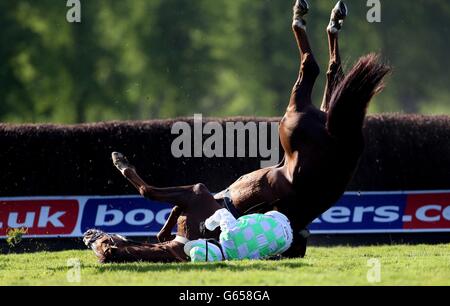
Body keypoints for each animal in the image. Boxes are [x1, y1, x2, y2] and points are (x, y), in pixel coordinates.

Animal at [83, 0, 390, 262]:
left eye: (101, 244)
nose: (88, 234)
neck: (185, 245)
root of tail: (341, 137)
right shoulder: (195, 197)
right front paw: (162, 228)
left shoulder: (195, 193)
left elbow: (148, 190)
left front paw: (120, 161)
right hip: (317, 115)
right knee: (330, 74)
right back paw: (331, 20)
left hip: (293, 117)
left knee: (312, 67)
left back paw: (305, 18)